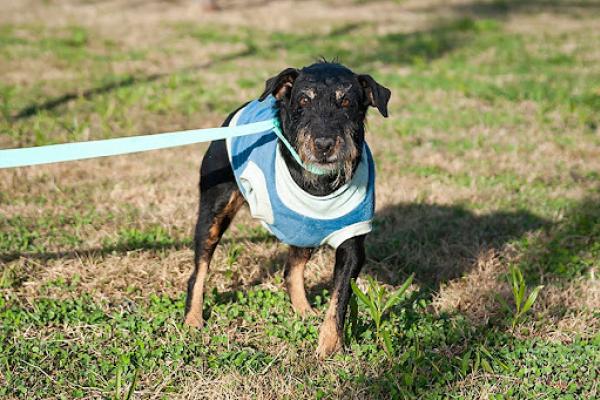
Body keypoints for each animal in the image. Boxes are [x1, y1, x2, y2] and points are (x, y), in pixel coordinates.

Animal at [185, 61, 392, 358]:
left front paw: (329, 345)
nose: (324, 144)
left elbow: (339, 297)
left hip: (304, 231)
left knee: (291, 271)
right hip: (214, 211)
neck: (319, 183)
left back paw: (304, 312)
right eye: (304, 100)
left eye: (347, 102)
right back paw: (192, 321)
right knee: (198, 271)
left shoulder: (352, 242)